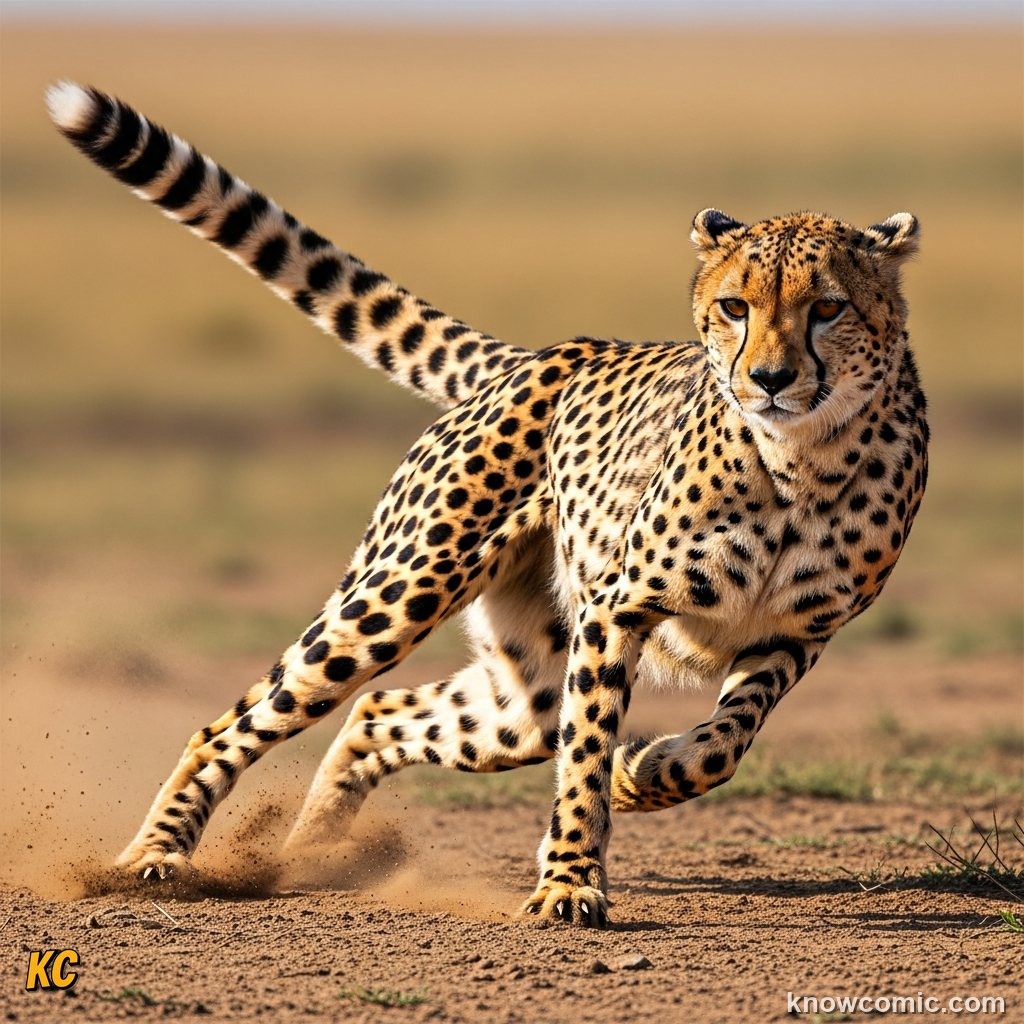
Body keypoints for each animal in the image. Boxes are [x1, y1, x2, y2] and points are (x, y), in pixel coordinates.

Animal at [48, 82, 928, 927]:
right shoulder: (618, 609)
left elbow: (721, 745)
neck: (801, 464)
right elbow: (586, 757)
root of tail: (539, 356)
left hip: (529, 683)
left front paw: (644, 773)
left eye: (827, 307)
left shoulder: (793, 635)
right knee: (239, 721)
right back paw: (156, 857)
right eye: (736, 307)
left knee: (383, 710)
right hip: (404, 590)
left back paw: (313, 850)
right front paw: (570, 883)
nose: (769, 379)